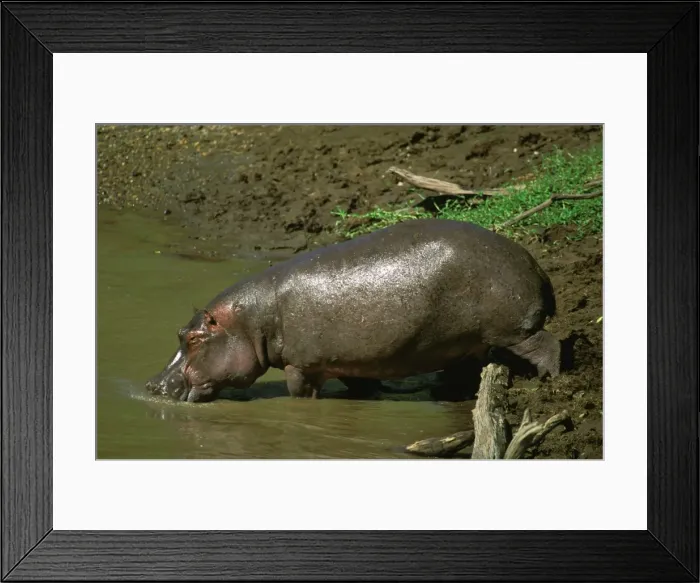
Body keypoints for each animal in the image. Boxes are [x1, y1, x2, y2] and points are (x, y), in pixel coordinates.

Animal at [145, 218, 561, 403]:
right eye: (180, 333)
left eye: (194, 338)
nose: (152, 384)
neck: (251, 322)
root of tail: (532, 261)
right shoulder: (352, 361)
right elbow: (362, 386)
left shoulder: (304, 365)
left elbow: (300, 394)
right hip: (464, 342)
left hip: (513, 329)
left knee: (548, 345)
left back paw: (550, 382)